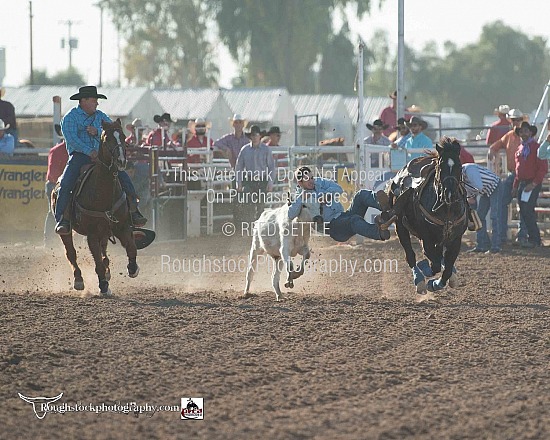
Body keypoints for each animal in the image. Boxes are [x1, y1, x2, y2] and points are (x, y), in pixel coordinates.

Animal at [52, 119, 139, 296]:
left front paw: (132, 268)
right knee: (71, 253)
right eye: (106, 139)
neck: (103, 190)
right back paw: (79, 280)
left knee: (104, 249)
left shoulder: (123, 226)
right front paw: (103, 286)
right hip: (67, 230)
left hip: (105, 231)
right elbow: (96, 260)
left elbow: (131, 247)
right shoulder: (91, 233)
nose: (121, 161)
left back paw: (108, 271)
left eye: (123, 136)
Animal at [384, 137, 470, 296]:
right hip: (400, 227)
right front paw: (427, 274)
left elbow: (447, 269)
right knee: (411, 255)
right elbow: (434, 264)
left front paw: (435, 283)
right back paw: (419, 280)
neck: (447, 208)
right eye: (441, 167)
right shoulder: (427, 238)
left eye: (460, 166)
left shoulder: (456, 240)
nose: (450, 194)